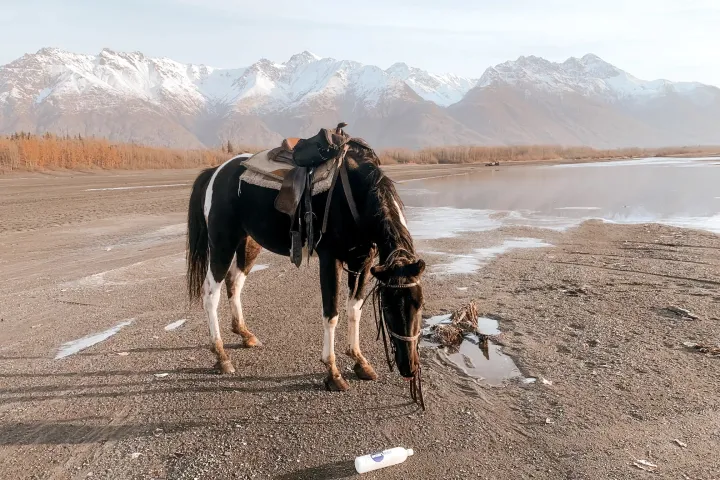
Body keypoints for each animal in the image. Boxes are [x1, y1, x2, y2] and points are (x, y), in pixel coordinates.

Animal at [185, 135, 426, 404]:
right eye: (387, 307)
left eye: (420, 305)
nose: (409, 367)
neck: (356, 195)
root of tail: (216, 172)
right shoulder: (330, 259)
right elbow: (331, 314)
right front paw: (333, 373)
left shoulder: (363, 261)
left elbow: (355, 309)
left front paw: (359, 361)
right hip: (222, 244)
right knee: (210, 293)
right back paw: (221, 356)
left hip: (248, 243)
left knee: (234, 283)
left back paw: (245, 334)